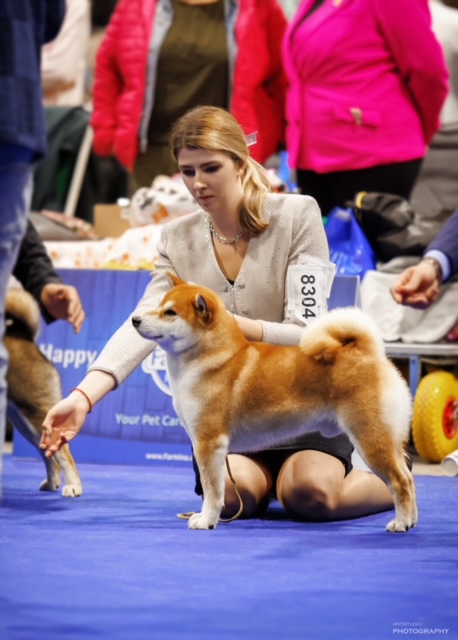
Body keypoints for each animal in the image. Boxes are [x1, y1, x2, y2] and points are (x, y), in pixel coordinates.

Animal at [4, 288, 82, 498]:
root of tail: (22, 337)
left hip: (35, 411)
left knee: (63, 453)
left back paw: (74, 486)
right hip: (22, 419)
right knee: (49, 456)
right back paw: (52, 483)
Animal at [131, 272, 416, 532]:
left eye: (170, 313)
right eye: (158, 305)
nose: (135, 319)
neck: (214, 360)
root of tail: (369, 354)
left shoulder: (208, 443)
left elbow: (213, 491)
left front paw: (206, 520)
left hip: (368, 436)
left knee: (399, 481)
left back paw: (400, 523)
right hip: (385, 437)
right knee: (409, 477)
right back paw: (411, 520)